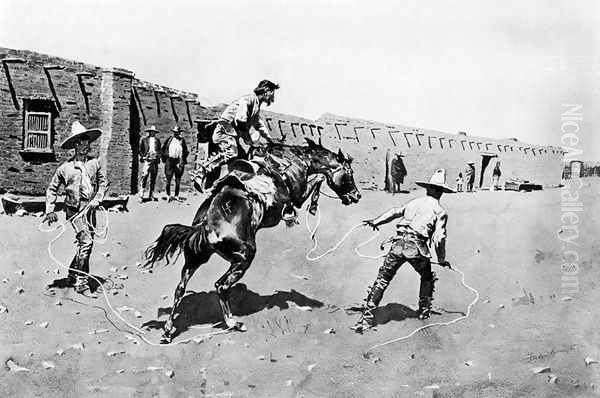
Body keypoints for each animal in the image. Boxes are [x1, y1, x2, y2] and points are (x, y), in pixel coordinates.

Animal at [144, 137, 360, 342]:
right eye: (349, 173)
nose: (357, 196)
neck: (296, 162)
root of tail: (205, 226)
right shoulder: (297, 196)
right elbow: (318, 180)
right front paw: (310, 207)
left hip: (195, 258)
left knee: (180, 289)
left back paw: (168, 331)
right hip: (243, 258)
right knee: (220, 286)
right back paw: (233, 323)